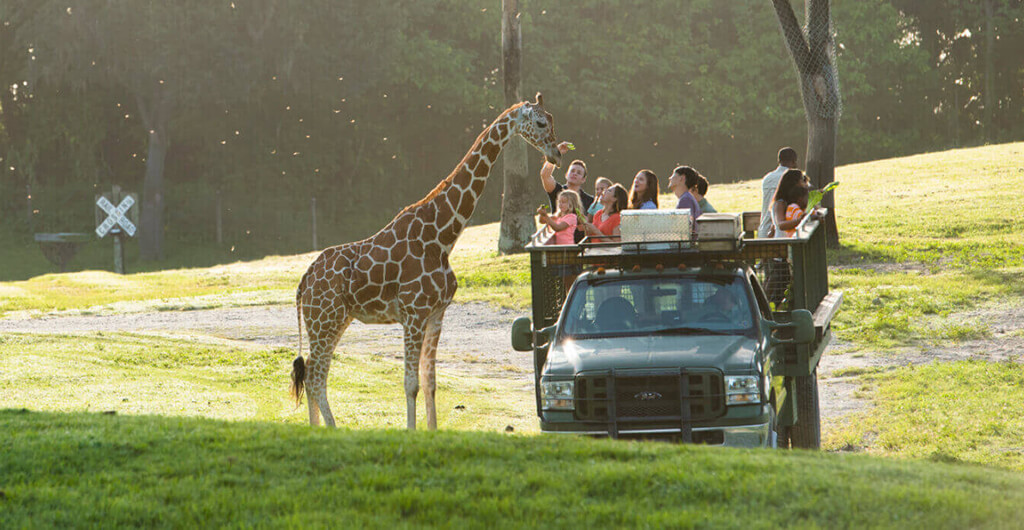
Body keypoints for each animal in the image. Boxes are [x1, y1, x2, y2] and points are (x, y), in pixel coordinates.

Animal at [291, 93, 561, 429]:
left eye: (551, 120)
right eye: (540, 122)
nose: (556, 154)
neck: (442, 236)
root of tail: (303, 282)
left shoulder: (436, 315)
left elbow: (430, 382)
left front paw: (431, 431)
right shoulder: (413, 313)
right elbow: (411, 383)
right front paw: (411, 431)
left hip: (335, 319)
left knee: (313, 372)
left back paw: (318, 429)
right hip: (324, 320)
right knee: (314, 375)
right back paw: (332, 429)